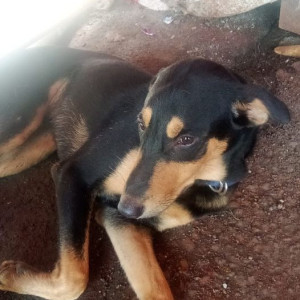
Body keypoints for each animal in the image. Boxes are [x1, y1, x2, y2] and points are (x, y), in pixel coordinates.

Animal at [0, 47, 290, 300]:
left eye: (186, 140)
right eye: (140, 123)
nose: (127, 207)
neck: (198, 179)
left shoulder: (119, 218)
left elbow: (154, 290)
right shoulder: (74, 173)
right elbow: (74, 279)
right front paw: (12, 275)